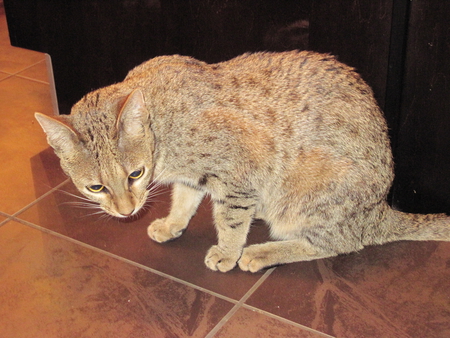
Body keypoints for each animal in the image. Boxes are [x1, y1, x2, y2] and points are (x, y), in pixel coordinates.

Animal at [35, 50, 450, 272]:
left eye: (135, 174)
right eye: (96, 187)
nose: (126, 211)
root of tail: (380, 211)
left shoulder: (238, 175)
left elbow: (230, 220)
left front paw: (227, 251)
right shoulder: (193, 178)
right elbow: (183, 202)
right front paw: (171, 224)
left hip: (310, 197)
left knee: (341, 242)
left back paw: (260, 252)